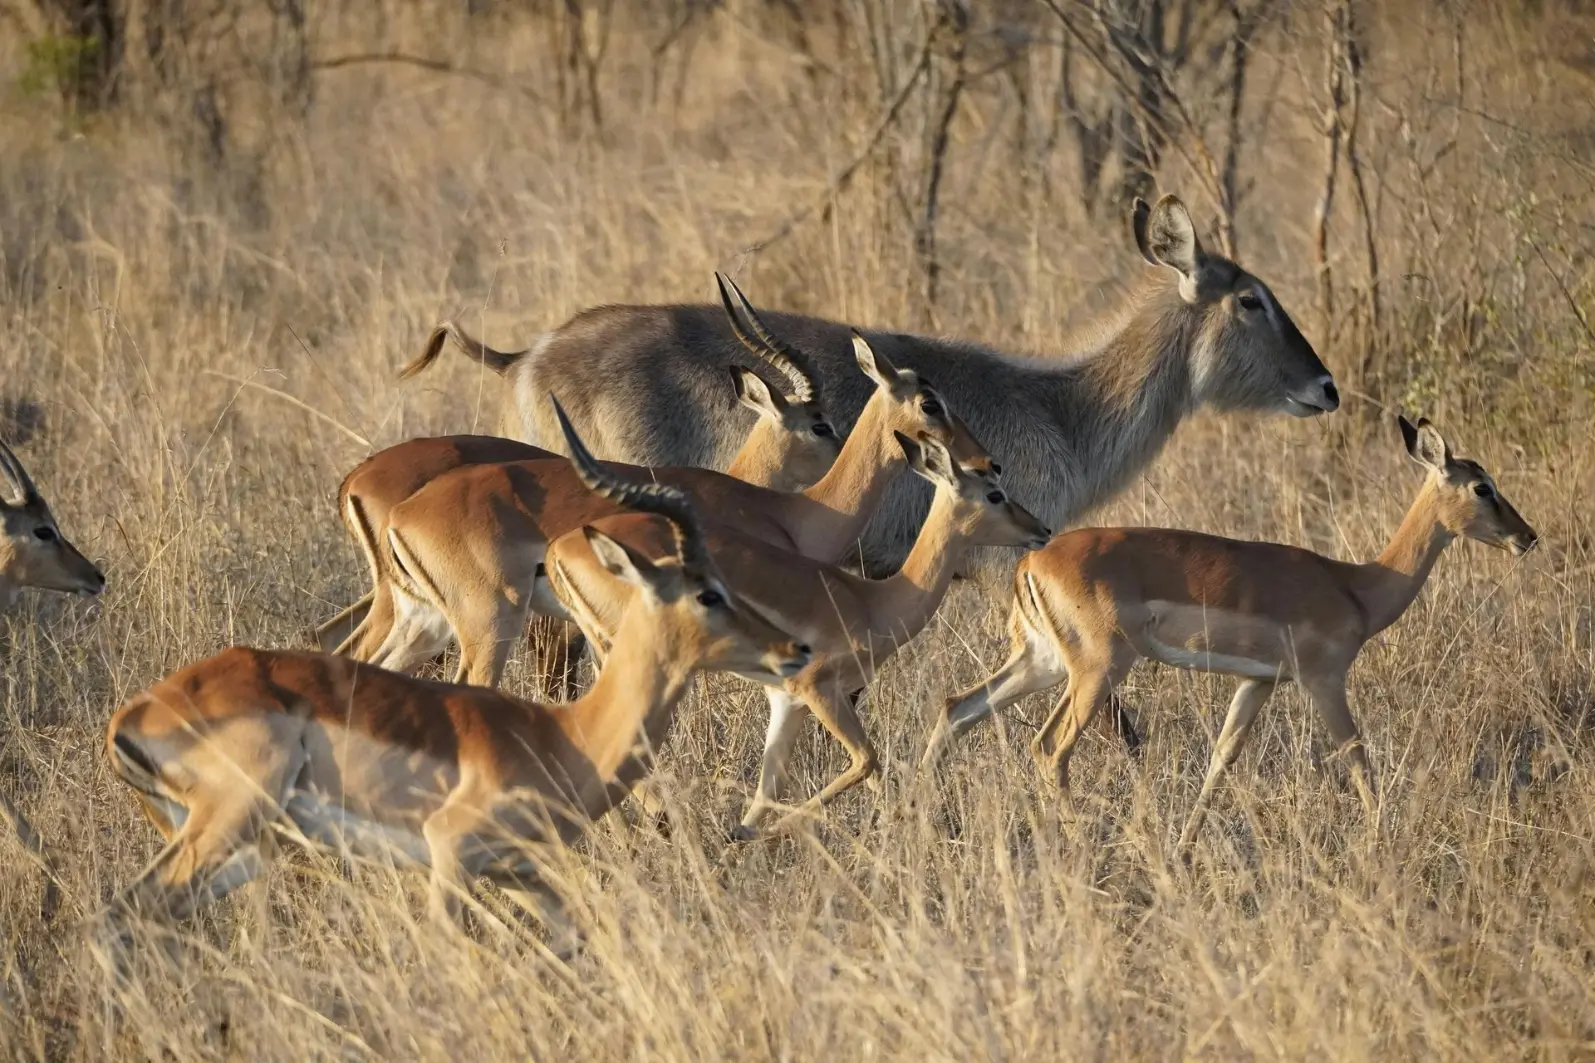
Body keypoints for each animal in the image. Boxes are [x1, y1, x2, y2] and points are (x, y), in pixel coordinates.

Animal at [99, 423, 810, 961]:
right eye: (708, 592)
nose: (794, 648)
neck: (567, 737)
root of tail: (132, 717)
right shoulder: (450, 855)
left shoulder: (517, 870)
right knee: (122, 917)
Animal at [372, 333, 981, 690]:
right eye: (930, 402)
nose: (985, 462)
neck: (789, 511)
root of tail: (401, 513)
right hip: (488, 626)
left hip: (427, 622)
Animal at [543, 400, 1050, 839]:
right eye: (995, 493)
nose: (1041, 529)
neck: (871, 601)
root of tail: (559, 549)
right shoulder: (820, 691)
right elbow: (866, 761)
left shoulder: (786, 702)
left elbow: (767, 793)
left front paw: (739, 836)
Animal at [918, 415, 1538, 855]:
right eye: (1483, 487)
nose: (1527, 536)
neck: (1356, 585)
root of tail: (1033, 559)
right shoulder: (1323, 681)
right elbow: (1357, 756)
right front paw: (1381, 842)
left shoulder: (1256, 684)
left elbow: (1222, 757)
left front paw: (1184, 848)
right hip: (1096, 670)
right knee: (1048, 748)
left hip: (1042, 662)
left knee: (957, 707)